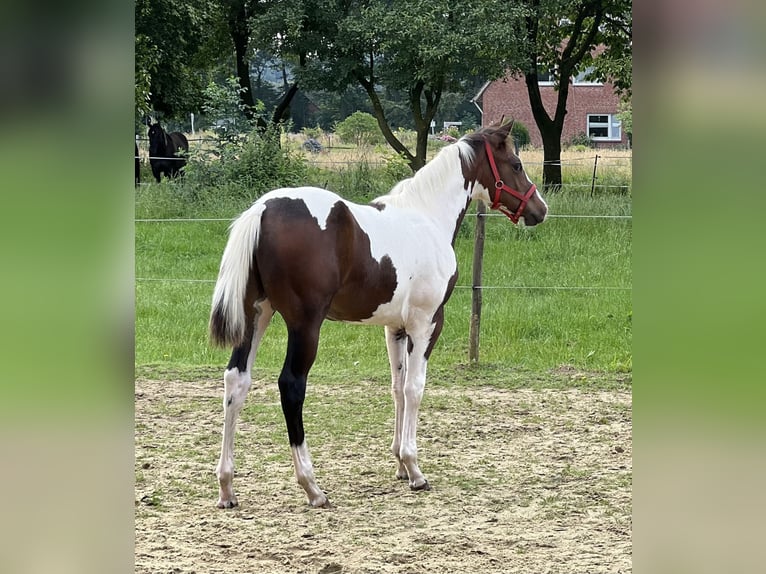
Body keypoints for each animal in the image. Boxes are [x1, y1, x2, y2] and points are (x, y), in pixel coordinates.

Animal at [208, 121, 544, 508]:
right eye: (516, 164)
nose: (540, 209)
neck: (426, 218)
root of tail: (263, 210)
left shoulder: (395, 328)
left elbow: (397, 387)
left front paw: (399, 464)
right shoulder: (427, 323)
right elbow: (414, 388)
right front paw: (414, 469)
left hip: (256, 316)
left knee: (237, 380)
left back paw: (227, 486)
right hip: (304, 325)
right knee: (291, 385)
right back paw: (312, 487)